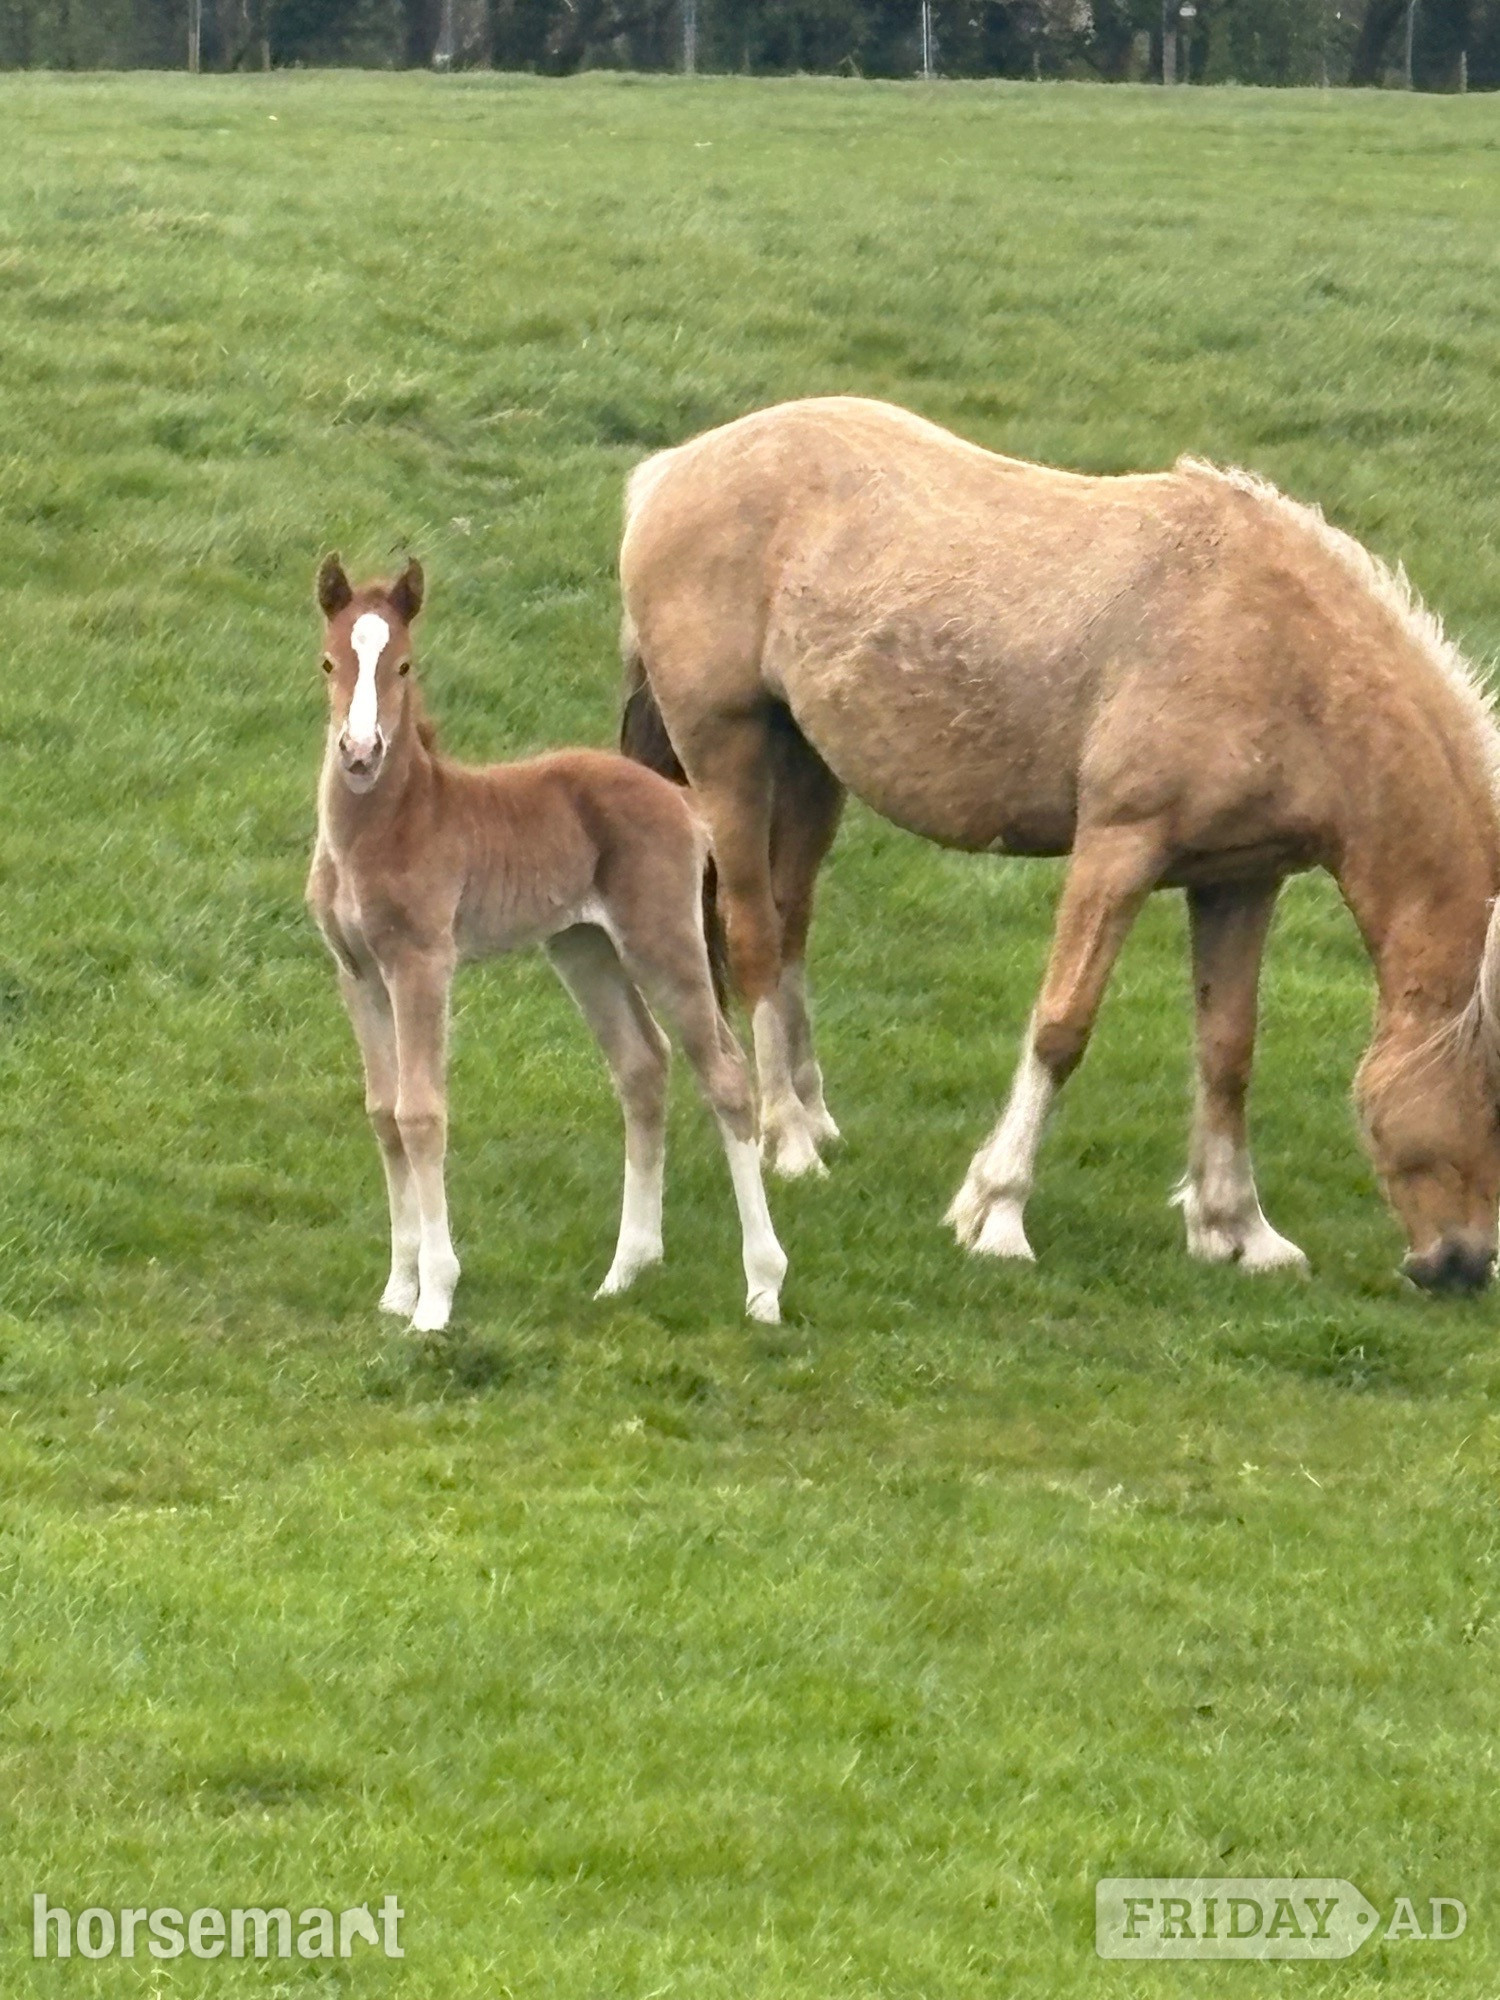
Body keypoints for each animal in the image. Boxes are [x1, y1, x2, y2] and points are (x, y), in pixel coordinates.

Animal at [306, 555, 787, 1331]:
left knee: (724, 1074)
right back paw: (626, 1270)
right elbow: (383, 1115)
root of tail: (685, 803)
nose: (358, 752)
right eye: (328, 662)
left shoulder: (421, 964)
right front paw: (397, 1289)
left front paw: (434, 1301)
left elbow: (421, 1113)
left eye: (404, 664)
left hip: (661, 939)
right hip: (584, 947)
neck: (398, 821)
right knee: (642, 1065)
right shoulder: (356, 973)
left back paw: (764, 1285)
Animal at [618, 396, 1500, 1294]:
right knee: (754, 937)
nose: (1463, 1266)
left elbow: (1228, 1049)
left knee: (792, 925)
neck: (1279, 652)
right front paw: (996, 1213)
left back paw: (810, 1117)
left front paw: (1238, 1230)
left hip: (809, 765)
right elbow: (1061, 1028)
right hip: (727, 753)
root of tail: (674, 468)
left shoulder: (1243, 880)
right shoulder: (1117, 852)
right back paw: (790, 1142)